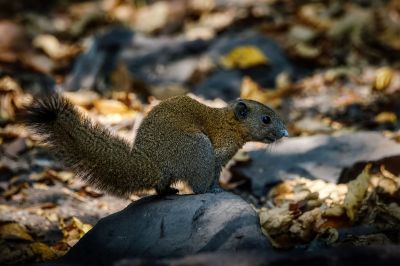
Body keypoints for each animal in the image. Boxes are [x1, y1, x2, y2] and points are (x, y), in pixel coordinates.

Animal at [23, 94, 288, 196]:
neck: (229, 124)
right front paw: (217, 189)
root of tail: (155, 166)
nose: (285, 132)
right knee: (197, 186)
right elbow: (210, 179)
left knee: (160, 188)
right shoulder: (217, 154)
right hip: (198, 149)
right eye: (266, 119)